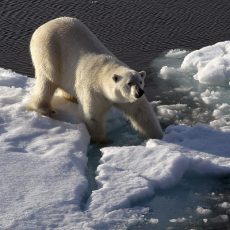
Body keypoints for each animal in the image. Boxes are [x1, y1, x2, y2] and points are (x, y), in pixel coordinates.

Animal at [27, 16, 163, 142]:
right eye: (129, 83)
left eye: (140, 82)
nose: (139, 92)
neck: (103, 72)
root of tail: (43, 26)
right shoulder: (92, 90)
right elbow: (93, 116)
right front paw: (102, 141)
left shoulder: (128, 99)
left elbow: (141, 111)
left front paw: (158, 136)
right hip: (49, 52)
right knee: (47, 81)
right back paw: (45, 108)